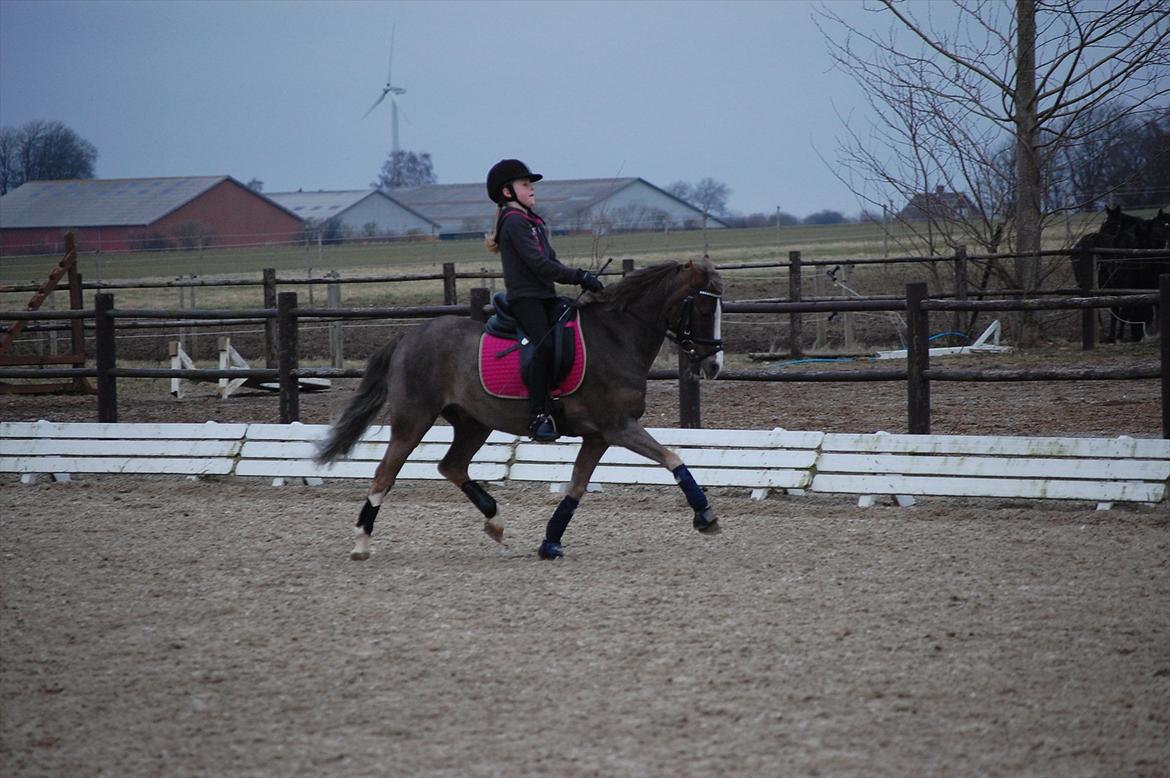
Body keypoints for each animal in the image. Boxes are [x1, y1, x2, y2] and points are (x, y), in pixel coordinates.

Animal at [315, 258, 726, 561]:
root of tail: (408, 335)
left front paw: (550, 542)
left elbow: (576, 488)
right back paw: (361, 542)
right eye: (705, 306)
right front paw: (705, 515)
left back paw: (495, 523)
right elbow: (673, 458)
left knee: (452, 465)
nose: (714, 365)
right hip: (413, 420)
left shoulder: (598, 436)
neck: (616, 336)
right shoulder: (618, 427)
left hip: (474, 423)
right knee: (385, 474)